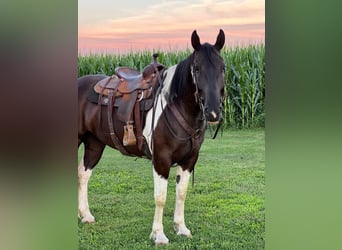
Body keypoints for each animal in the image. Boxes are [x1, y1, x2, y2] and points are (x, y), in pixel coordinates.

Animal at [78, 29, 226, 244]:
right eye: (197, 69)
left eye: (223, 68)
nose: (213, 112)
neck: (175, 105)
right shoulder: (161, 159)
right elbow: (160, 196)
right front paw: (159, 235)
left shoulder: (189, 160)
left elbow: (181, 193)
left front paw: (181, 228)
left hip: (94, 143)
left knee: (83, 174)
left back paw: (86, 215)